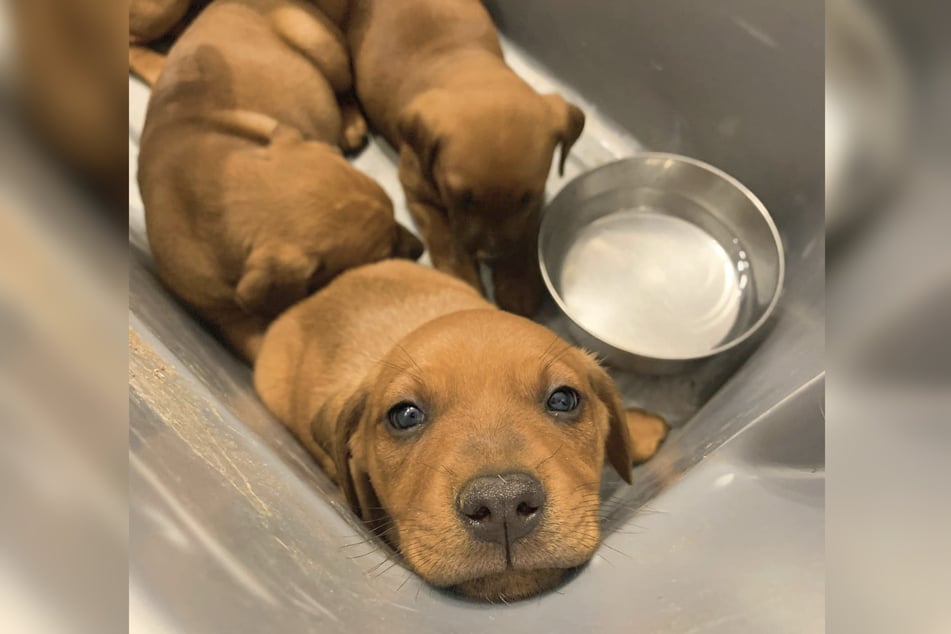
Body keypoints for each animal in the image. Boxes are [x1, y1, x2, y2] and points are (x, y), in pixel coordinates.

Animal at [141, 0, 424, 362]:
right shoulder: (226, 316)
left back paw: (350, 124)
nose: (420, 248)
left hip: (317, 41)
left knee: (346, 89)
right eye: (380, 254)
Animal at [348, 0, 588, 316]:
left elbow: (525, 232)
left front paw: (518, 282)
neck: (463, 60)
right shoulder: (417, 191)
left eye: (525, 199)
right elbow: (445, 236)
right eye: (462, 197)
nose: (490, 254)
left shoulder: (534, 199)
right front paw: (462, 279)